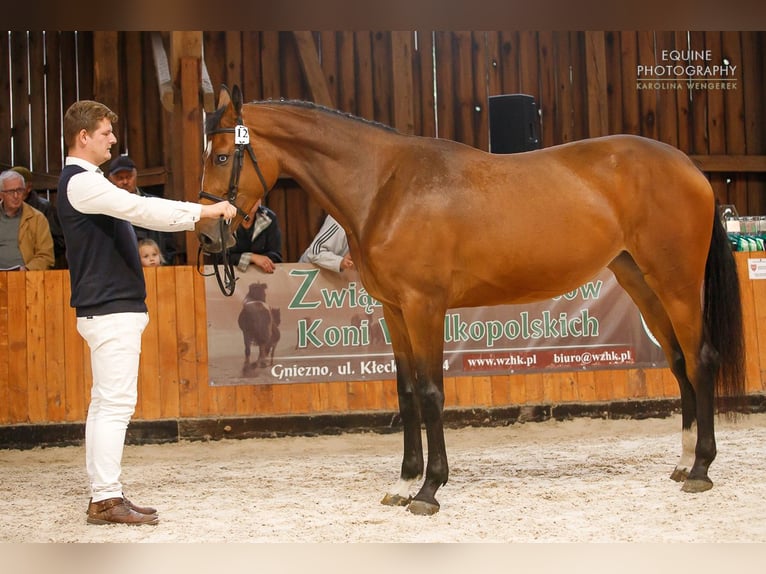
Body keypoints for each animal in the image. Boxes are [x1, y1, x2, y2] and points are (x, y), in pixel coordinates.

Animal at [196, 84, 744, 516]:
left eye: (221, 156)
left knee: (701, 358)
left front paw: (429, 489)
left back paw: (701, 467)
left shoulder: (424, 307)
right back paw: (682, 461)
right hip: (641, 283)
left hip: (676, 284)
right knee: (678, 362)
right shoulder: (395, 312)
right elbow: (406, 395)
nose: (206, 236)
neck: (386, 187)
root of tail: (690, 168)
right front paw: (404, 483)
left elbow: (432, 393)